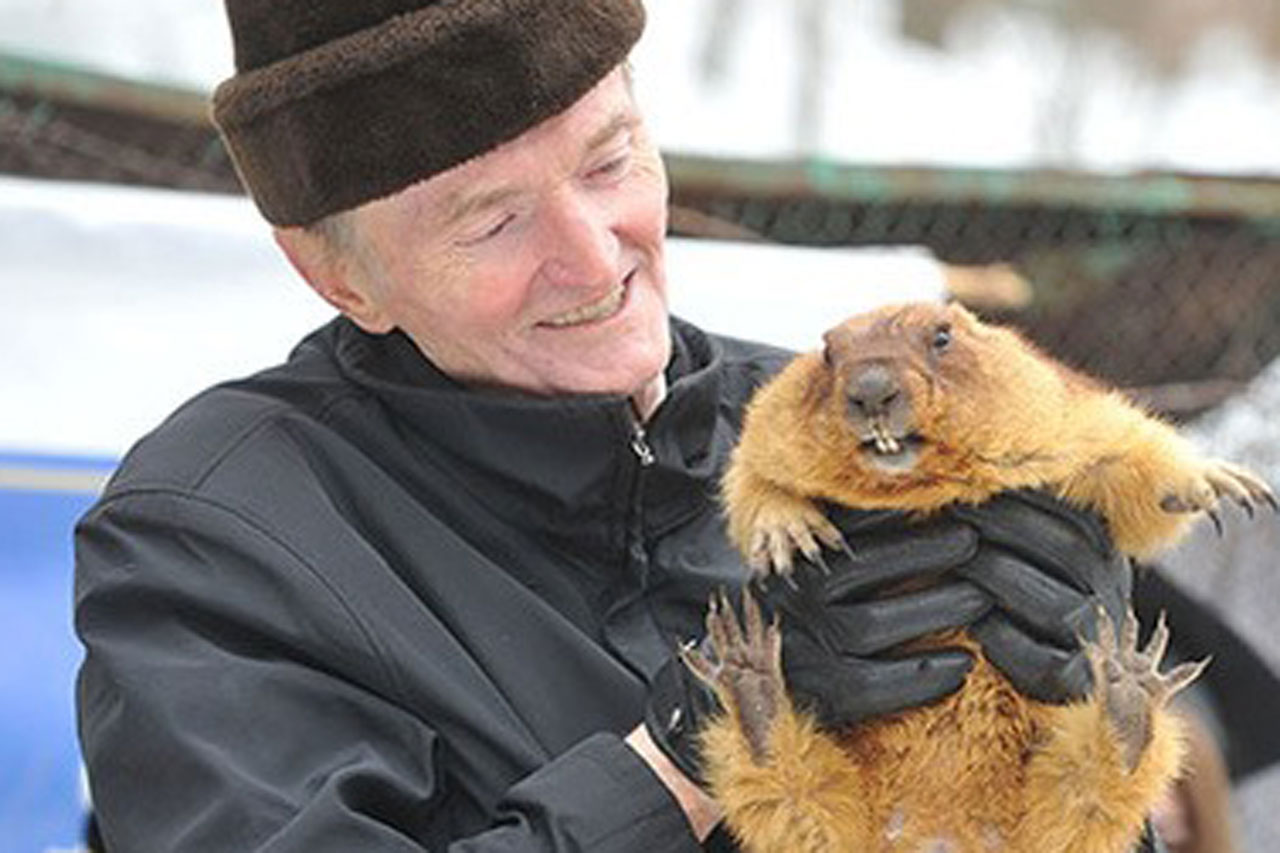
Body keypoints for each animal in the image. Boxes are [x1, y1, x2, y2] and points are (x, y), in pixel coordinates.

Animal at [686, 300, 1274, 850]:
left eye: (942, 337)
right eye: (828, 353)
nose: (871, 392)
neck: (923, 486)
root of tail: (943, 835)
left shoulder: (1060, 408)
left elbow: (1127, 447)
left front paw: (1221, 482)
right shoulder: (768, 425)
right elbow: (751, 476)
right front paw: (785, 531)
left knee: (1089, 799)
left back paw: (1127, 698)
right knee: (793, 805)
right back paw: (752, 685)